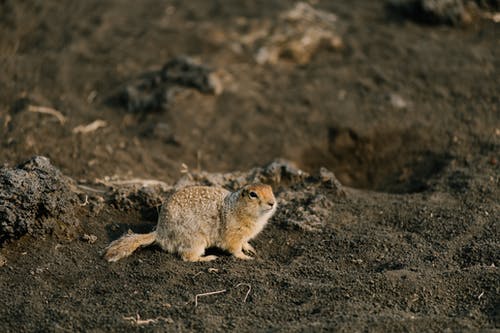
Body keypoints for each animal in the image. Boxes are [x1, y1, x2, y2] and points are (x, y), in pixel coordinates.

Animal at [105, 183, 278, 260]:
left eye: (271, 189)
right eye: (253, 194)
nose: (272, 203)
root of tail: (160, 232)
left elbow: (244, 243)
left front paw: (250, 248)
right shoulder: (233, 234)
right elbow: (234, 249)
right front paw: (245, 257)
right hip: (195, 241)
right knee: (188, 257)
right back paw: (208, 258)